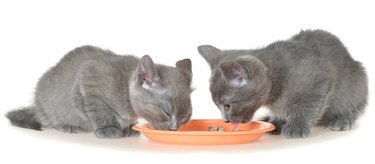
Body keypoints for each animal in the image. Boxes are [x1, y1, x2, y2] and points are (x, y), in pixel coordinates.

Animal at [5, 45, 194, 138]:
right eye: (166, 112)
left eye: (186, 116)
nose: (174, 128)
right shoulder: (87, 79)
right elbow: (99, 111)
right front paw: (108, 128)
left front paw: (128, 128)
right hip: (51, 105)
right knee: (52, 118)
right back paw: (69, 126)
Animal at [198, 29, 368, 138]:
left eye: (227, 106)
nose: (225, 120)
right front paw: (276, 122)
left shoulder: (320, 82)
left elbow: (308, 107)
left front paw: (297, 126)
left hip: (357, 86)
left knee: (352, 107)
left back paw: (342, 120)